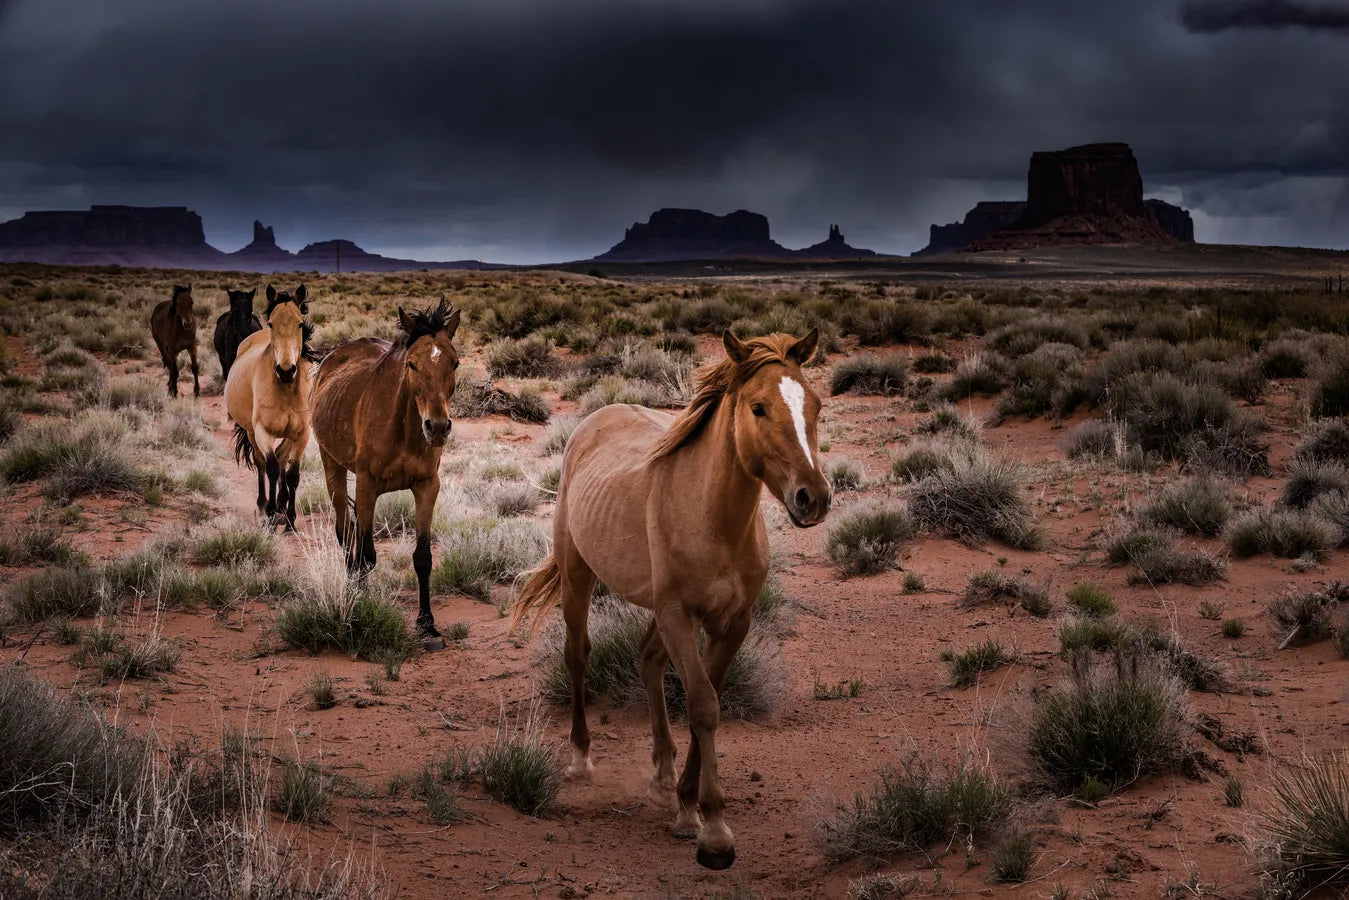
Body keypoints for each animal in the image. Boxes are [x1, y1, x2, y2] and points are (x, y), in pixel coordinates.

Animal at [230, 284, 319, 531]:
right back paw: (263, 506)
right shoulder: (264, 431)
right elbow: (269, 468)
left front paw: (290, 520)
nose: (286, 370)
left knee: (281, 459)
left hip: (288, 435)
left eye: (300, 323)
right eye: (271, 323)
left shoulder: (301, 434)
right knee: (262, 463)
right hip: (251, 432)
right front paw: (269, 513)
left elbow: (292, 474)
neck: (285, 390)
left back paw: (281, 504)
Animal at [310, 299, 464, 650]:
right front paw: (360, 612)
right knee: (345, 534)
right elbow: (366, 554)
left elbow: (423, 557)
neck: (403, 430)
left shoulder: (427, 487)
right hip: (332, 467)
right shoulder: (367, 486)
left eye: (455, 363)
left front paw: (427, 625)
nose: (437, 427)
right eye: (412, 364)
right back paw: (351, 587)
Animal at [507, 327, 830, 868]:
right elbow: (702, 705)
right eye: (759, 408)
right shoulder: (680, 614)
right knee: (578, 655)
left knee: (649, 659)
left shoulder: (732, 622)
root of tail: (595, 418)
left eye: (816, 405)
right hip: (578, 575)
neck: (713, 516)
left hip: (655, 608)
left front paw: (686, 801)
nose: (814, 498)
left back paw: (661, 772)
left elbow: (709, 700)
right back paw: (581, 757)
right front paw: (713, 831)